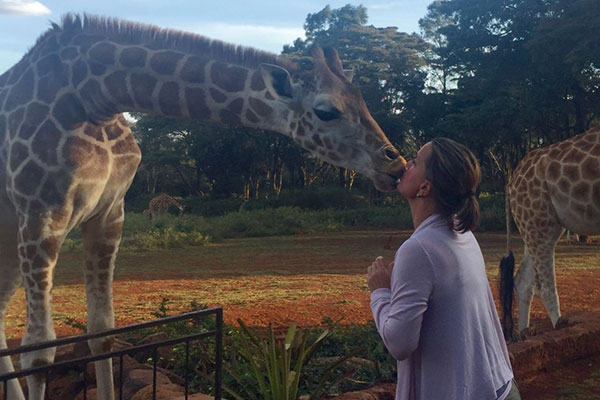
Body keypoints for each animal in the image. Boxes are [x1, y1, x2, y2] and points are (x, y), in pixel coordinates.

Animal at [0, 14, 408, 398]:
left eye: (363, 100)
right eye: (326, 111)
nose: (396, 165)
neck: (97, 95)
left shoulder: (110, 212)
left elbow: (102, 333)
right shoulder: (41, 209)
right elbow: (38, 352)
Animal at [496, 125, 600, 338]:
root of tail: (510, 185)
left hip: (534, 224)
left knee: (523, 281)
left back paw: (523, 334)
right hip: (540, 223)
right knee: (544, 288)